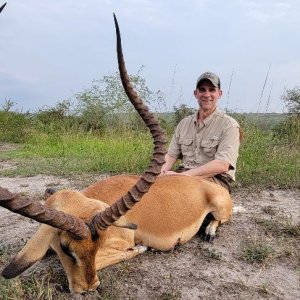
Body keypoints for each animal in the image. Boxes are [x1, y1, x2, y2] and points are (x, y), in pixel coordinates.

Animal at [0, 14, 232, 292]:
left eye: (96, 244)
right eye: (66, 247)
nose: (88, 288)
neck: (86, 200)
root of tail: (209, 186)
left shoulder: (121, 241)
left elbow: (117, 255)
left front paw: (141, 248)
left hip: (221, 209)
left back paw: (209, 232)